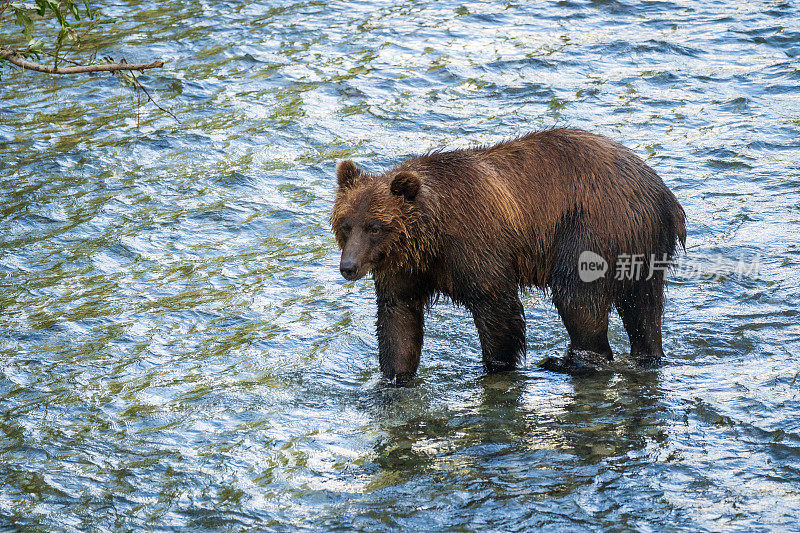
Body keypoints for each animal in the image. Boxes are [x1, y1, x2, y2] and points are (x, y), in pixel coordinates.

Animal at [328, 128, 684, 382]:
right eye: (346, 225)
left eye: (374, 227)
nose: (349, 266)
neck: (431, 238)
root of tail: (664, 195)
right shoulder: (404, 268)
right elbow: (398, 318)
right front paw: (393, 378)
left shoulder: (475, 243)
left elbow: (497, 306)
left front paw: (497, 365)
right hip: (640, 248)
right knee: (644, 308)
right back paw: (646, 354)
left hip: (593, 226)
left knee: (577, 297)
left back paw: (570, 361)